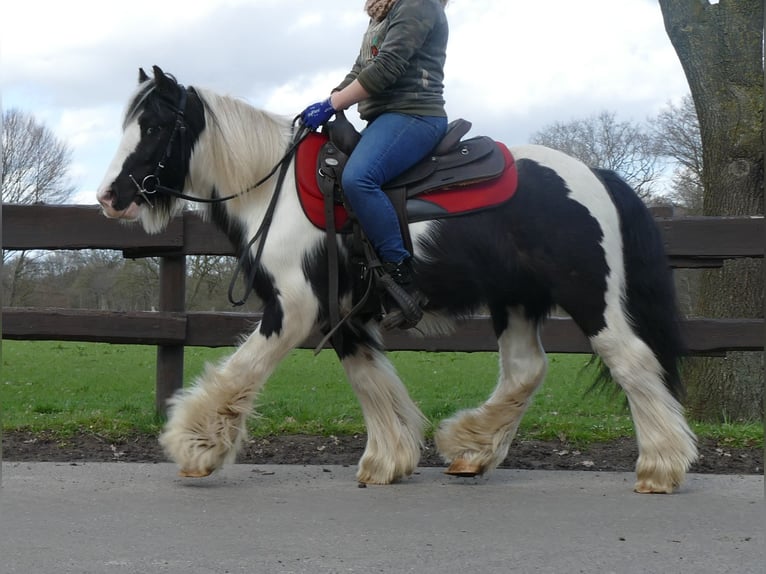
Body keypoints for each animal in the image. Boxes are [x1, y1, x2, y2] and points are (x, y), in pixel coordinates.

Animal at [97, 66, 704, 496]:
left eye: (153, 126)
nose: (110, 196)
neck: (275, 190)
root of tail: (595, 175)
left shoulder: (294, 308)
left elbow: (241, 371)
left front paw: (196, 445)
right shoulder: (343, 316)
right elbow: (373, 383)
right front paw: (389, 460)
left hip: (588, 296)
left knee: (632, 361)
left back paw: (660, 467)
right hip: (516, 300)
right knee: (525, 371)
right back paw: (470, 449)